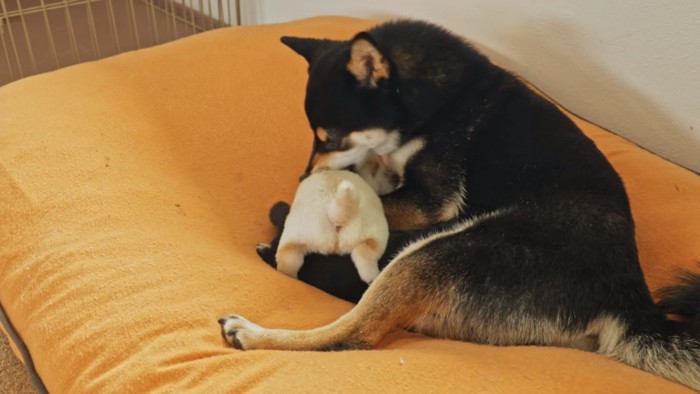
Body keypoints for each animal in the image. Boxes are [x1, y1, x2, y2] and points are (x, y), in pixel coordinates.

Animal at [219, 20, 700, 388]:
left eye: (331, 138)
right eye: (314, 136)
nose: (304, 178)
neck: (435, 101)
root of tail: (631, 298)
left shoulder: (433, 200)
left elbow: (380, 194)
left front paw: (294, 211)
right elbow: (374, 172)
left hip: (439, 253)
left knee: (354, 335)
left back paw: (255, 332)